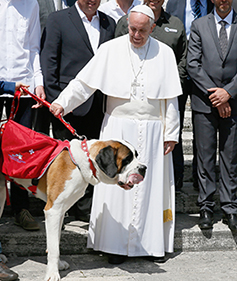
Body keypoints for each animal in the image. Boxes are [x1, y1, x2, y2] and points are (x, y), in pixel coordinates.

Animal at [0, 138, 146, 280]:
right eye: (127, 159)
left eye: (136, 155)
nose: (144, 168)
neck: (84, 163)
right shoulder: (53, 211)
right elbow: (54, 247)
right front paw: (52, 273)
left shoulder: (60, 212)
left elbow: (56, 241)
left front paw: (57, 265)